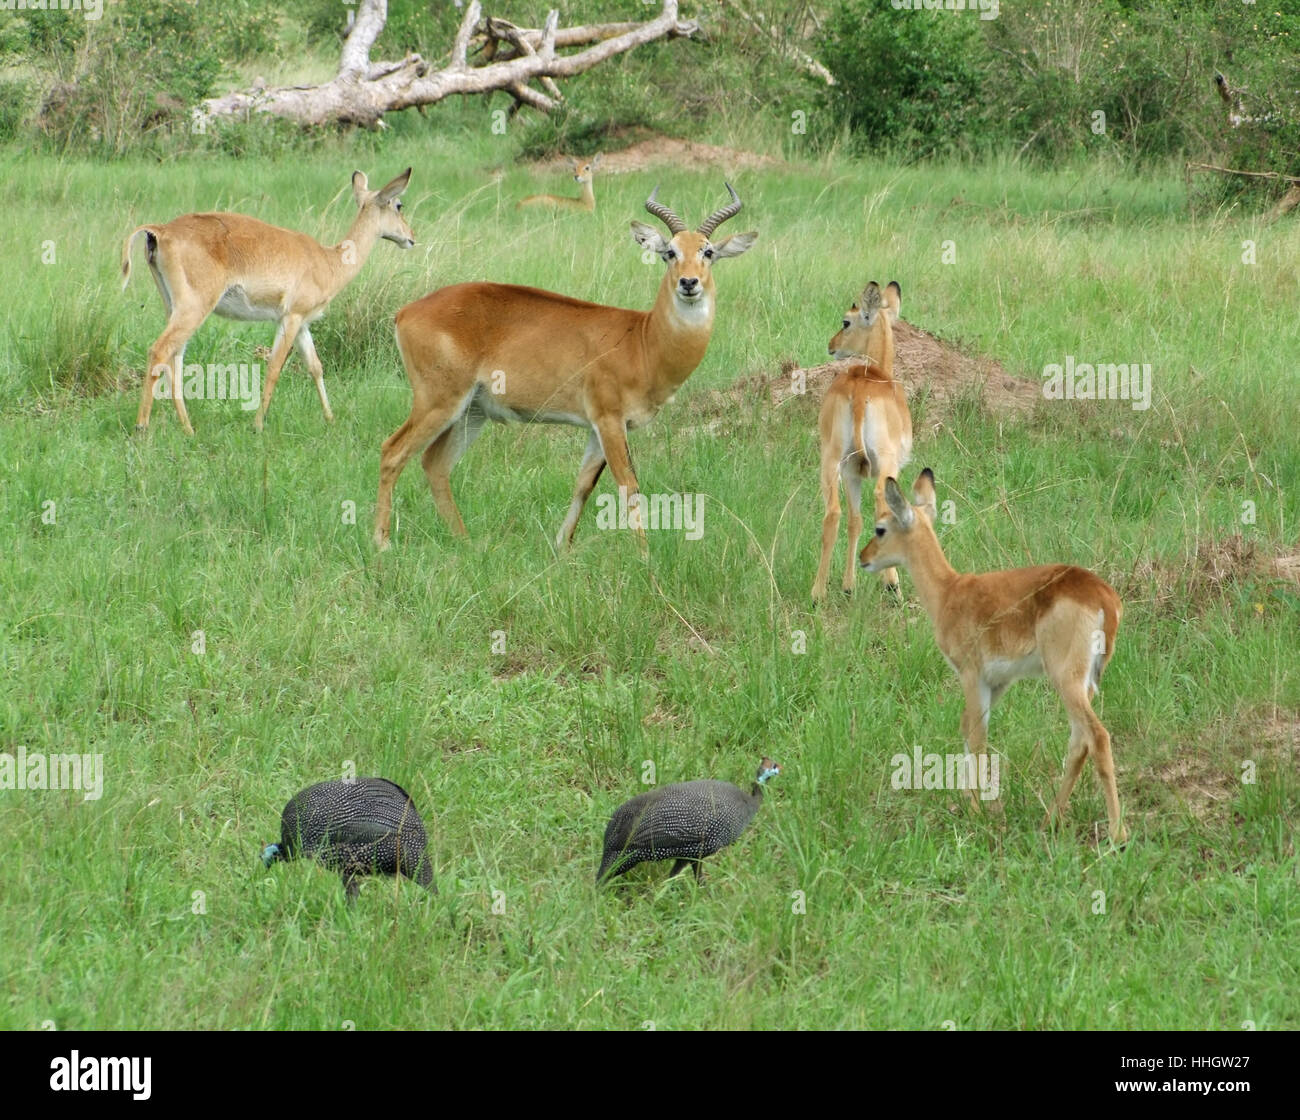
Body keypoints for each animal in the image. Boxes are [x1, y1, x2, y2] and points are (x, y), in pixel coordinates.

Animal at [121, 168, 413, 436]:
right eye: (398, 204)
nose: (411, 237)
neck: (329, 262)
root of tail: (159, 231)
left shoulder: (302, 323)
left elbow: (315, 366)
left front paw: (330, 419)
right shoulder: (291, 317)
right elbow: (274, 367)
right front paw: (258, 425)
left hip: (173, 307)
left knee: (174, 358)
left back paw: (188, 429)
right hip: (194, 308)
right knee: (159, 350)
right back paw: (142, 427)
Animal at [371, 185, 759, 553]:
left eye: (708, 252)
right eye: (670, 252)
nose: (689, 283)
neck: (644, 340)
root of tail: (406, 311)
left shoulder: (598, 428)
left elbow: (583, 485)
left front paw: (561, 546)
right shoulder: (609, 420)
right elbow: (629, 486)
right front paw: (646, 557)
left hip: (473, 412)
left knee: (435, 464)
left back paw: (466, 542)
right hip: (439, 401)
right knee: (392, 451)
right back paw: (383, 543)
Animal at [811, 278, 915, 605]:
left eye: (846, 321)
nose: (831, 345)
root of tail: (858, 388)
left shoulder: (852, 473)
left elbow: (854, 521)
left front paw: (848, 585)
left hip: (832, 462)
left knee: (833, 514)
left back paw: (818, 593)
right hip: (884, 464)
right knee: (883, 503)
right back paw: (892, 585)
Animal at [857, 470, 1123, 847]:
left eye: (880, 527)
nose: (863, 557)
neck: (949, 592)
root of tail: (1103, 597)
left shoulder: (971, 675)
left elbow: (977, 737)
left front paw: (976, 811)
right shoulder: (998, 683)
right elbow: (968, 730)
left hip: (1066, 680)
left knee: (1097, 736)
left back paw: (1117, 834)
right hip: (1085, 684)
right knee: (1079, 742)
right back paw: (1049, 821)